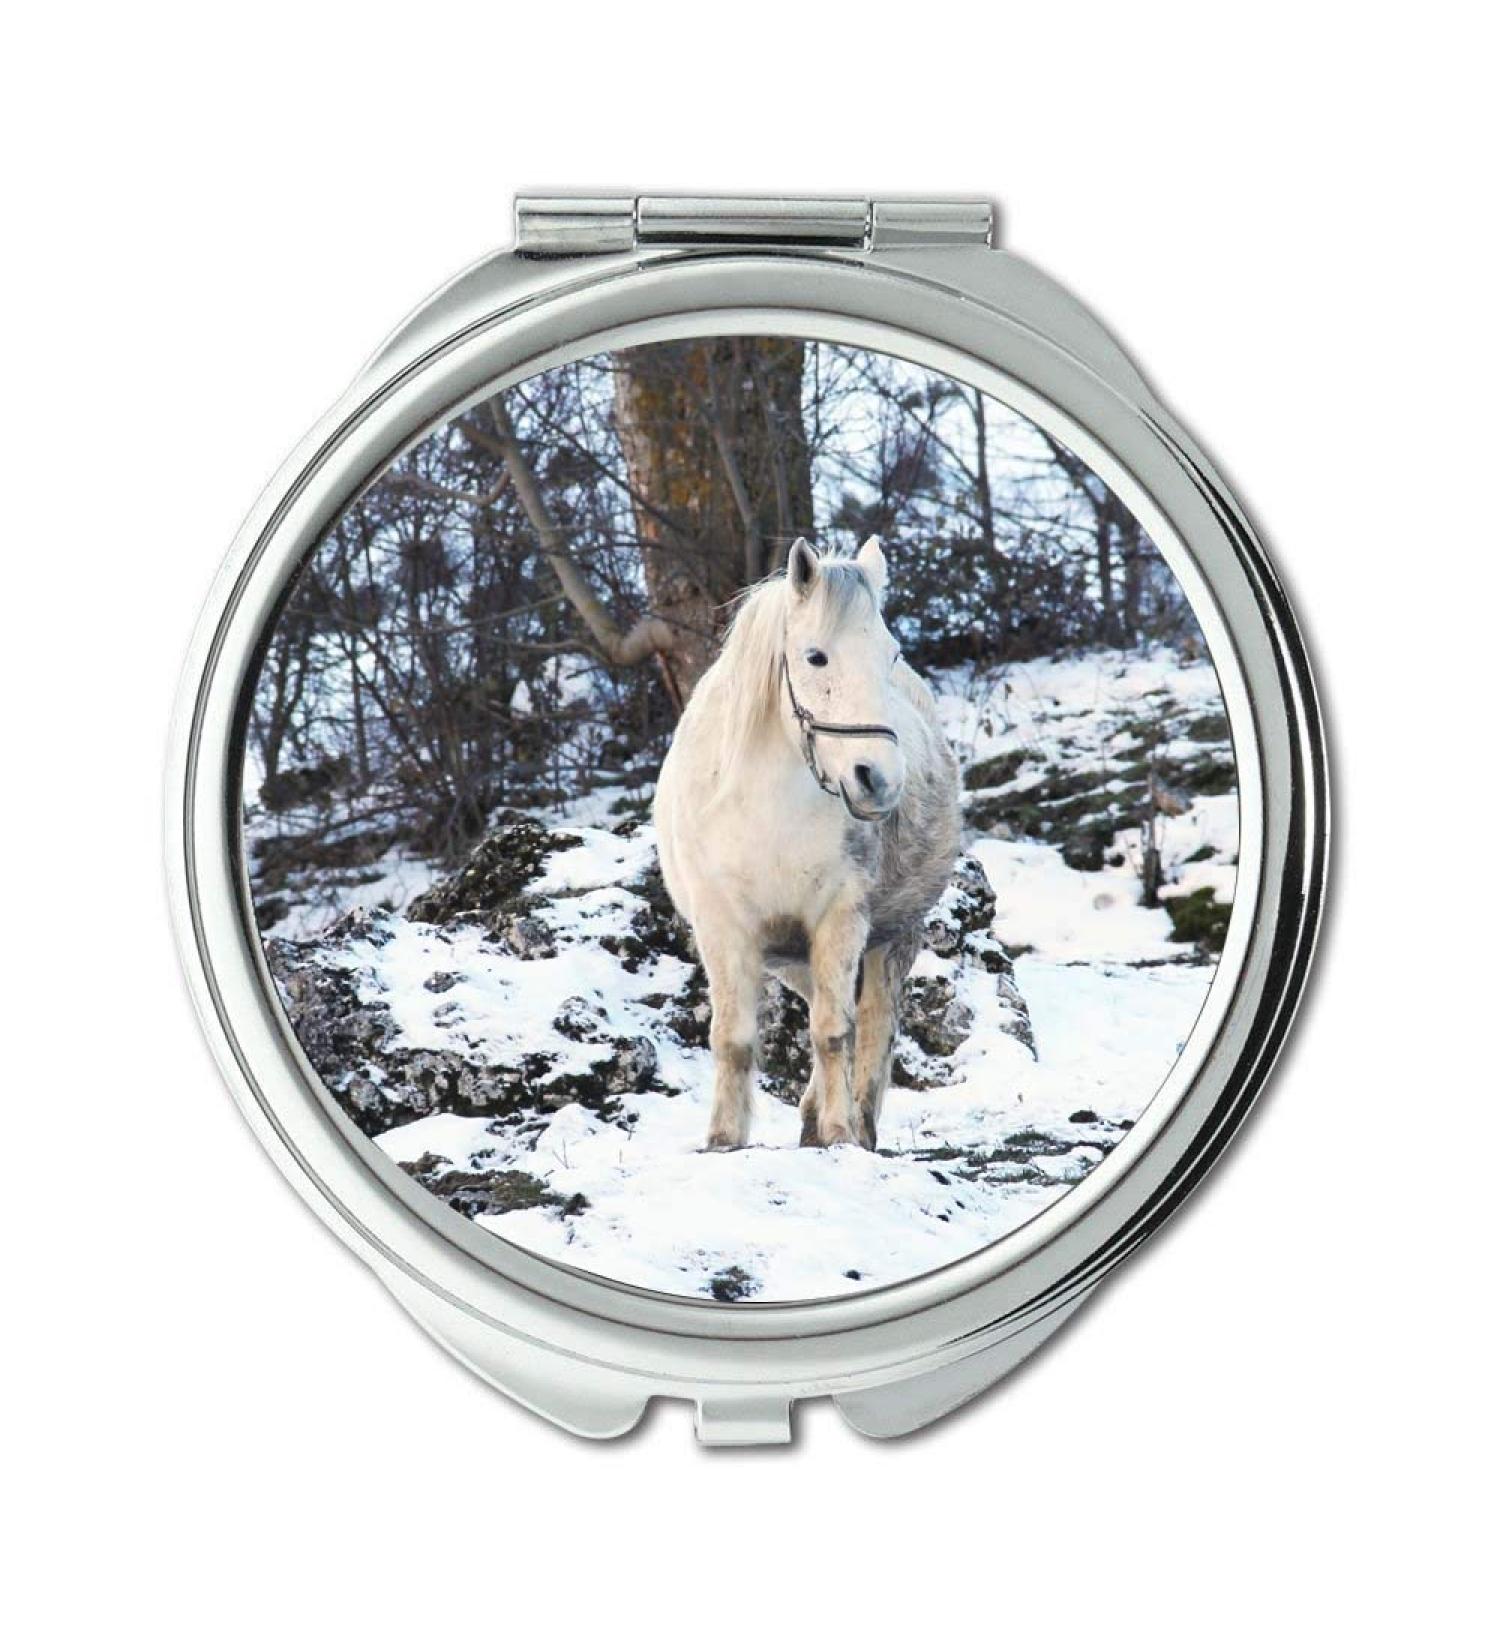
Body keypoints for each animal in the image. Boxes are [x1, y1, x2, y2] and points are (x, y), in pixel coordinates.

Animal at [654, 537, 960, 1151]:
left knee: (873, 1021)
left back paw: (857, 1121)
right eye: (816, 657)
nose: (878, 780)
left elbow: (834, 1031)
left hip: (894, 935)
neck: (766, 806)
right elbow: (733, 1038)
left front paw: (841, 1133)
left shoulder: (841, 917)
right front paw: (724, 1139)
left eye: (890, 655)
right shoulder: (724, 925)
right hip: (789, 955)